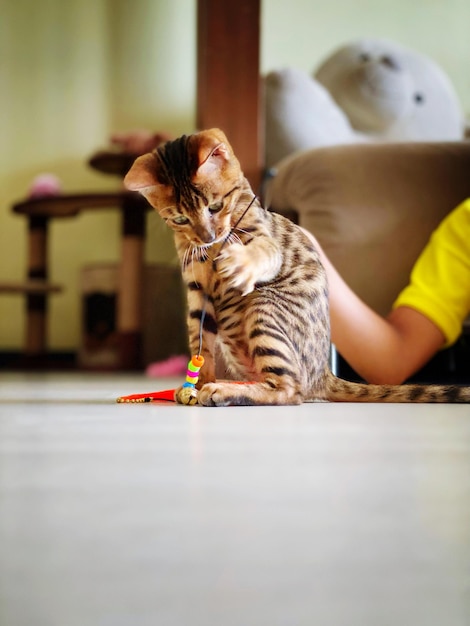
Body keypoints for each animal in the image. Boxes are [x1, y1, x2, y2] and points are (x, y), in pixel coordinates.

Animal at [125, 130, 470, 404]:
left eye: (215, 206)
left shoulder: (264, 240)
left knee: (291, 390)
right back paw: (220, 384)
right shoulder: (197, 292)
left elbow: (261, 251)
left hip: (264, 307)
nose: (208, 237)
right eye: (180, 219)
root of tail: (324, 374)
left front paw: (239, 261)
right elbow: (200, 345)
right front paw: (196, 385)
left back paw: (226, 391)